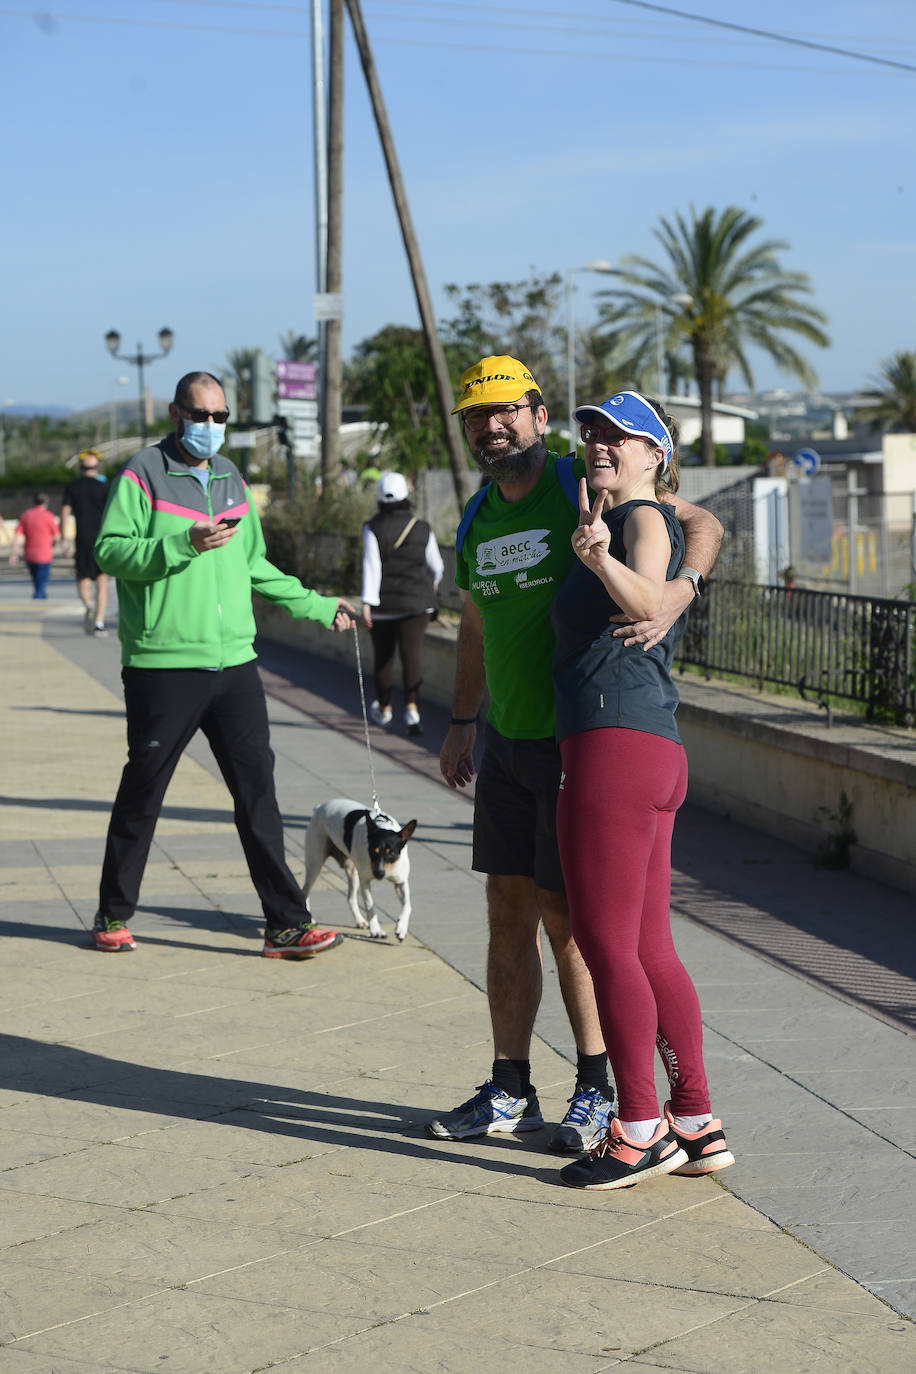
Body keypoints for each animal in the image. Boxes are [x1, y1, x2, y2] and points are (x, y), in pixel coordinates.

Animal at [304, 802, 420, 939]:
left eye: (391, 853)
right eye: (373, 851)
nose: (378, 874)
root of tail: (320, 806)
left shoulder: (401, 882)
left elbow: (408, 906)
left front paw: (401, 928)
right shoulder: (365, 881)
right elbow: (370, 906)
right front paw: (376, 930)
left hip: (352, 872)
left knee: (350, 898)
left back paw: (359, 921)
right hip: (315, 864)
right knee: (305, 892)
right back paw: (310, 920)